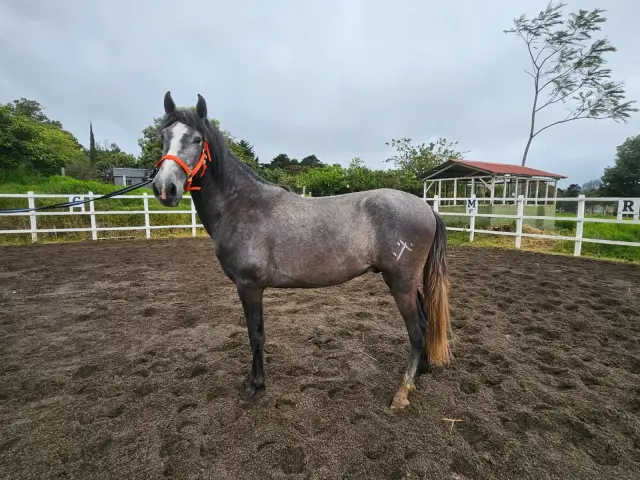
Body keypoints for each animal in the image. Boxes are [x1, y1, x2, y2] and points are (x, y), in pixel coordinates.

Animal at [151, 91, 452, 409]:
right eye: (164, 136)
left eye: (197, 139)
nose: (165, 188)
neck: (241, 205)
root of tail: (427, 209)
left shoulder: (249, 286)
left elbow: (255, 334)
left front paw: (255, 385)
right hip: (405, 282)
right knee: (425, 323)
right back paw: (421, 371)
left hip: (400, 282)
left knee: (416, 331)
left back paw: (403, 391)